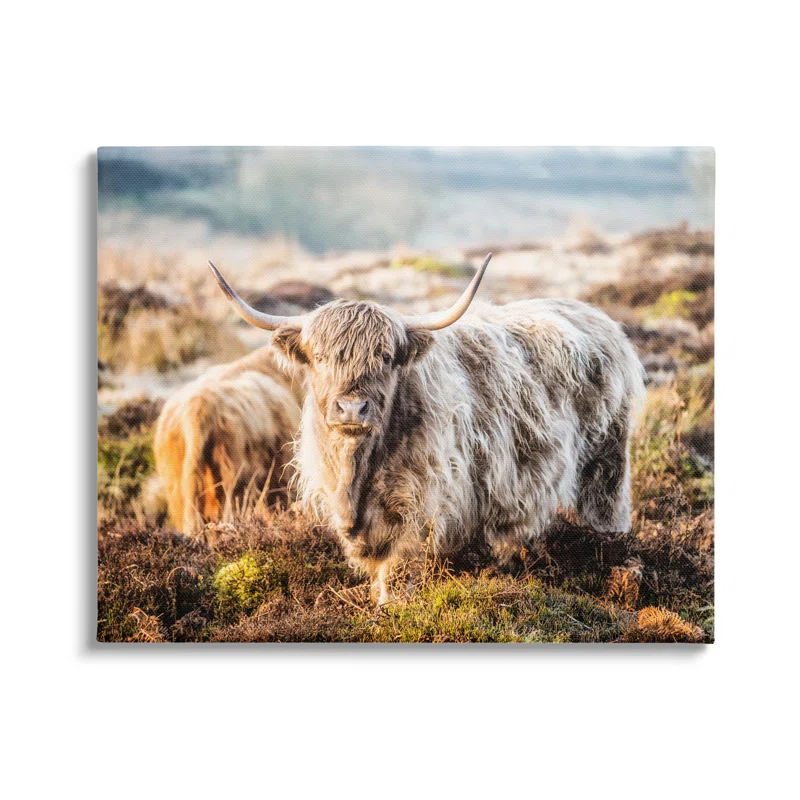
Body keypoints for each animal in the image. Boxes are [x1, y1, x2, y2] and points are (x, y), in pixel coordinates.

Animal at [208, 255, 646, 603]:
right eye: (318, 357)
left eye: (385, 356)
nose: (351, 407)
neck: (358, 471)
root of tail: (600, 319)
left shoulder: (418, 507)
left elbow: (398, 568)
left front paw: (390, 606)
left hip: (606, 467)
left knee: (605, 513)